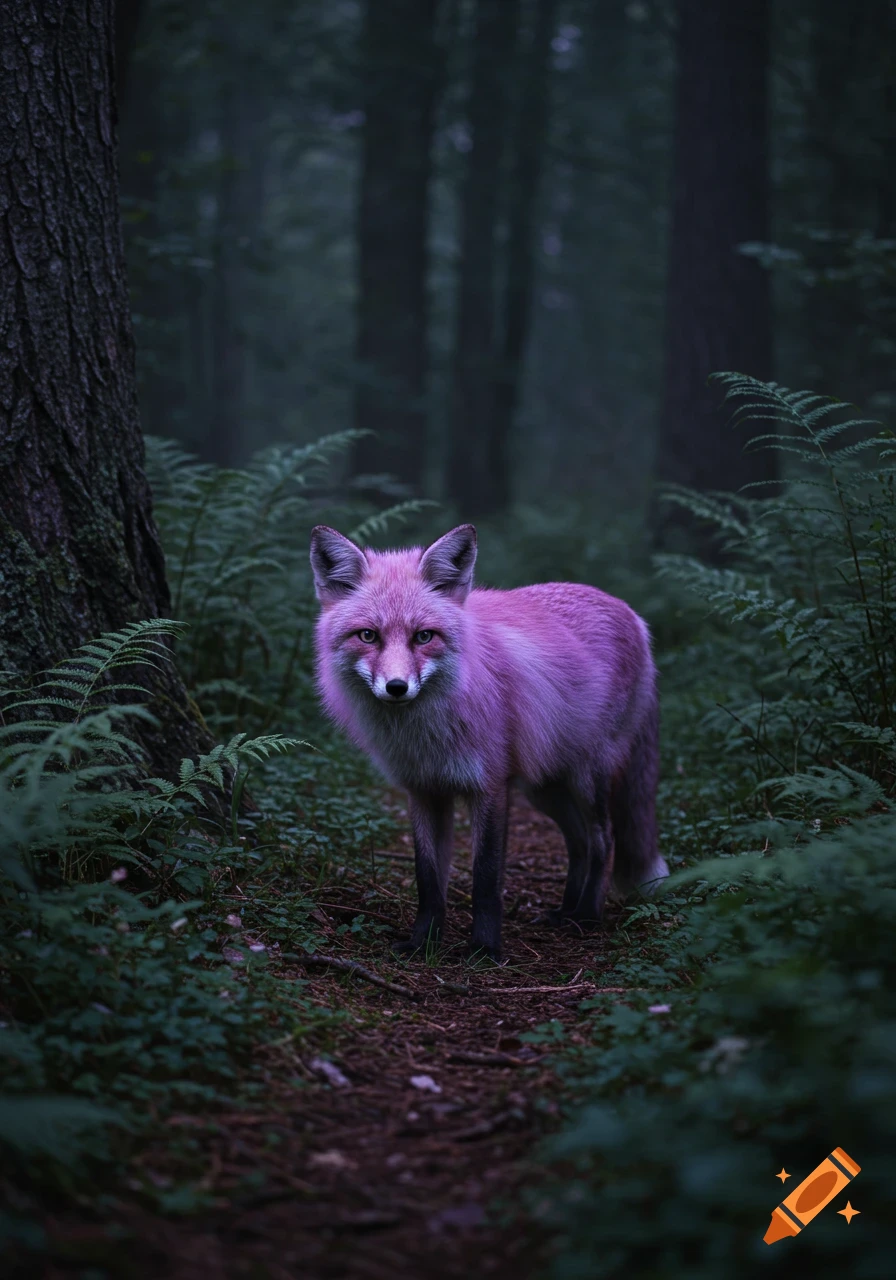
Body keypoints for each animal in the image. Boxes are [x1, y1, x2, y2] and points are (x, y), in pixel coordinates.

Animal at [309, 522, 667, 962]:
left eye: (423, 637)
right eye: (368, 636)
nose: (396, 687)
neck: (427, 734)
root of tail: (631, 613)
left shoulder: (491, 787)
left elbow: (485, 877)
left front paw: (484, 949)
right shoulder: (423, 790)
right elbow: (428, 879)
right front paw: (423, 942)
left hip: (587, 777)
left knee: (605, 839)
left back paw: (586, 915)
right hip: (545, 788)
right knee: (580, 843)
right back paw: (564, 911)